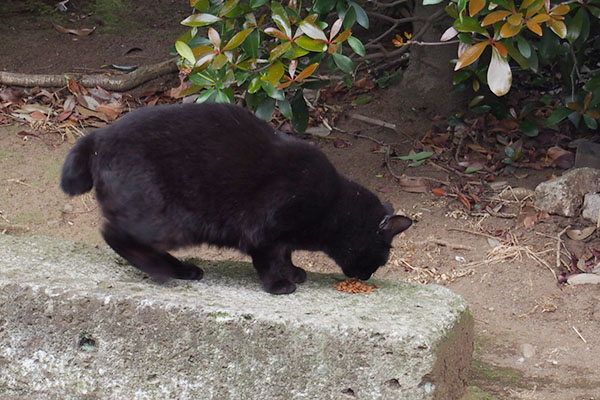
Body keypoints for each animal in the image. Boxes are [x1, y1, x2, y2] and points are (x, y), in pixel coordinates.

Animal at [62, 104, 412, 294]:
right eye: (381, 260)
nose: (366, 276)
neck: (334, 207)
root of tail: (98, 136)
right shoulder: (263, 229)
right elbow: (269, 259)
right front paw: (279, 285)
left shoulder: (282, 238)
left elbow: (286, 255)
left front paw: (294, 272)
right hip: (168, 219)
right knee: (117, 235)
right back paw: (167, 271)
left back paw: (181, 270)